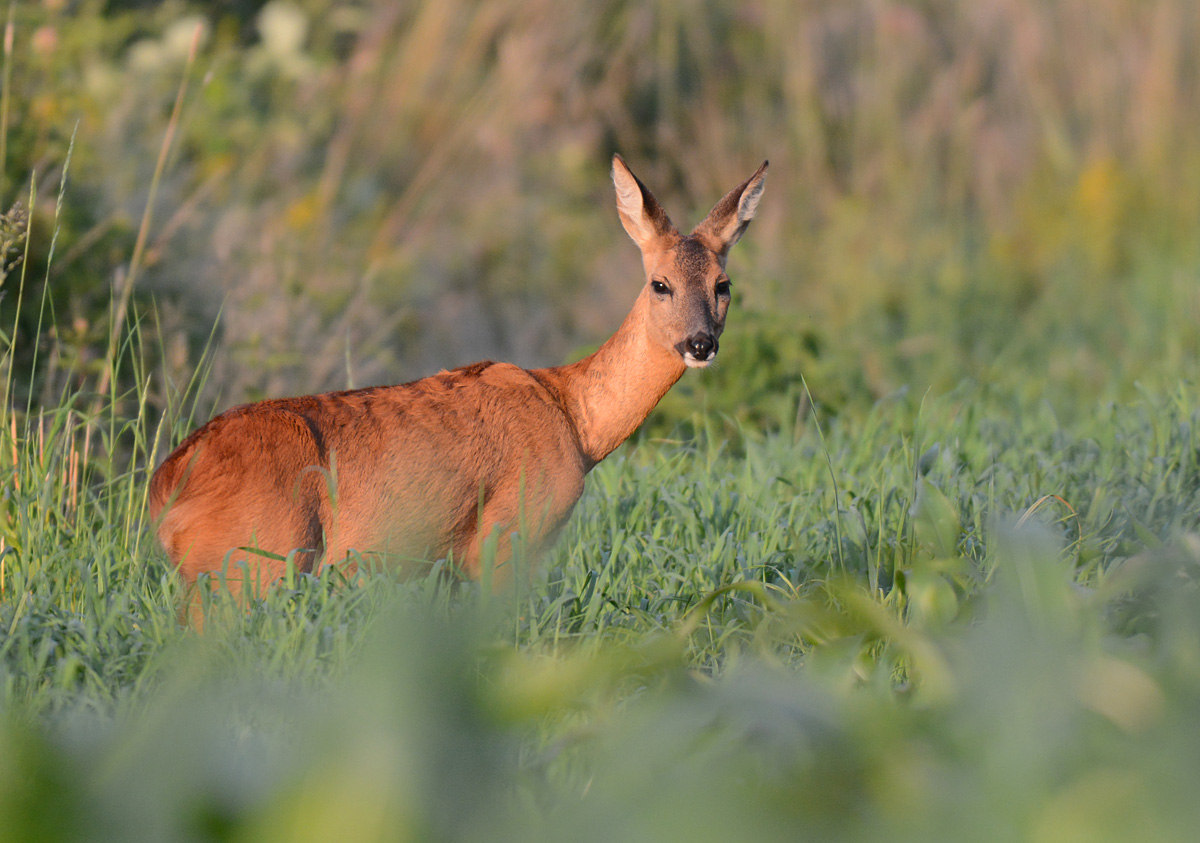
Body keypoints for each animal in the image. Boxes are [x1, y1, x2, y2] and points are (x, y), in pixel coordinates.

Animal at [150, 153, 768, 614]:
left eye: (724, 284)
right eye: (660, 283)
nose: (700, 344)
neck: (575, 420)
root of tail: (166, 487)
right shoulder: (506, 536)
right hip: (256, 560)